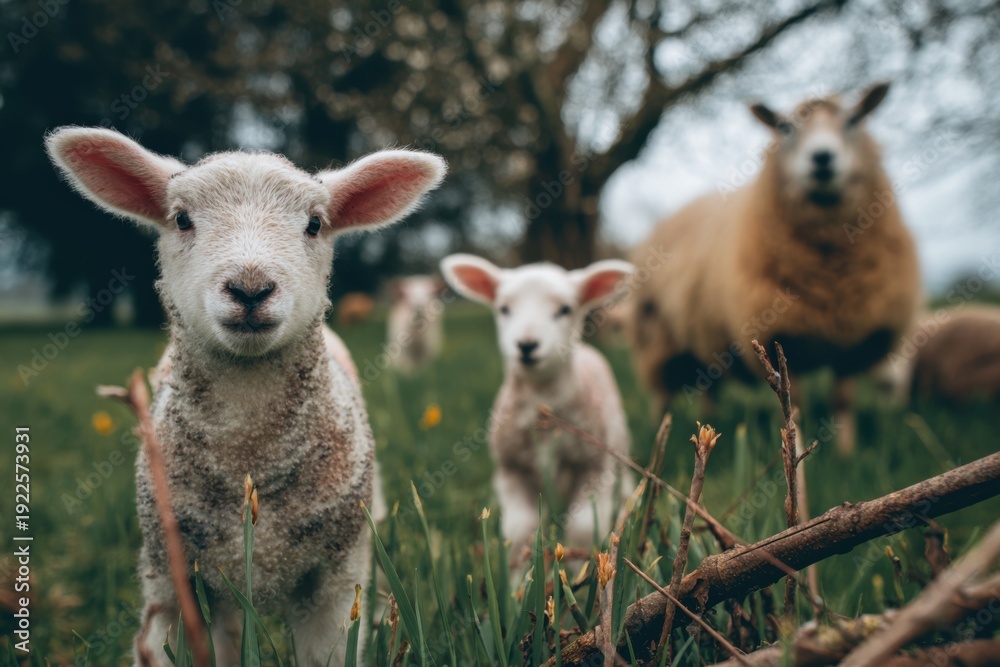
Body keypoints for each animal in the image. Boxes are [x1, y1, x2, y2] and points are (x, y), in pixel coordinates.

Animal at [45, 126, 445, 667]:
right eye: (182, 218)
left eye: (315, 224)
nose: (250, 289)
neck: (248, 447)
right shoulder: (171, 576)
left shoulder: (334, 580)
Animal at [440, 254, 634, 560]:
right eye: (504, 309)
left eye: (565, 309)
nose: (527, 345)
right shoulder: (511, 469)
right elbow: (520, 532)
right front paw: (519, 573)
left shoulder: (592, 466)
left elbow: (582, 531)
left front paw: (577, 568)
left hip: (617, 441)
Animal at [628, 82, 921, 454]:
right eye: (785, 128)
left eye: (853, 120)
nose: (822, 158)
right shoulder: (783, 334)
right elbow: (796, 402)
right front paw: (800, 445)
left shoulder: (851, 337)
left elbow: (843, 399)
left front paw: (846, 452)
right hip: (657, 332)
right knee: (661, 390)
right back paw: (658, 430)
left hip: (703, 334)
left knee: (709, 386)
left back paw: (710, 421)